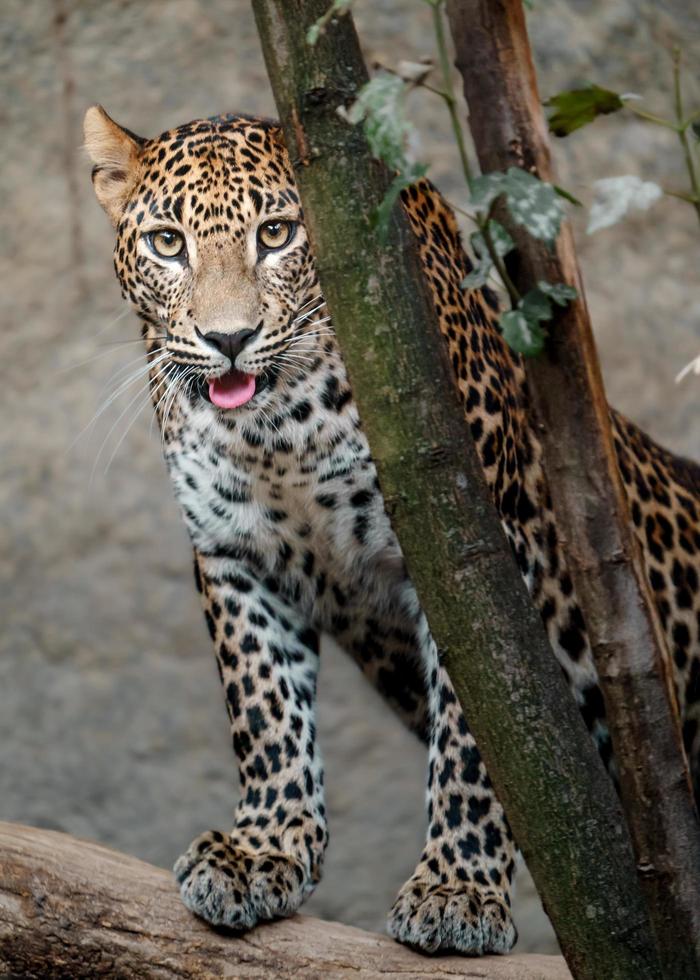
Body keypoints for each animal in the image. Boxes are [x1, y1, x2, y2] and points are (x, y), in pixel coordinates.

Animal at [83, 109, 700, 956]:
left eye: (276, 234)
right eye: (168, 243)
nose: (229, 339)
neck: (278, 433)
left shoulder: (479, 553)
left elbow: (488, 734)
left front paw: (457, 890)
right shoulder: (233, 556)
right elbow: (263, 708)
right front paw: (260, 851)